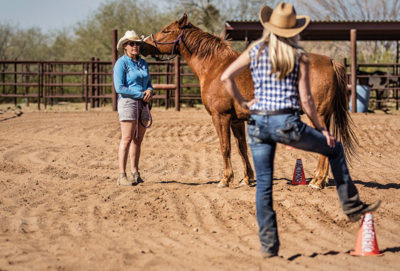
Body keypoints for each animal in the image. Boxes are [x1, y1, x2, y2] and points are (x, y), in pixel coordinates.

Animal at [143, 14, 356, 189]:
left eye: (166, 31)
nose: (144, 43)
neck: (216, 67)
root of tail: (330, 61)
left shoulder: (220, 117)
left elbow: (225, 147)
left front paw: (225, 179)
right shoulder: (237, 120)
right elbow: (241, 148)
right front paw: (247, 178)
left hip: (317, 115)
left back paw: (317, 182)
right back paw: (321, 179)